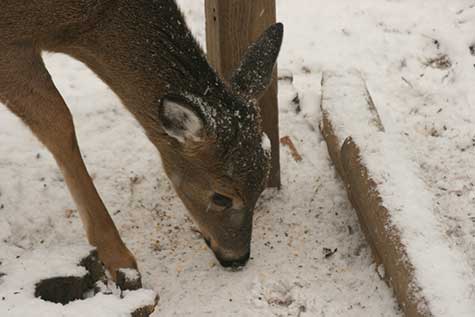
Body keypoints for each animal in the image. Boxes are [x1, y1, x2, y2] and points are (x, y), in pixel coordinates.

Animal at [0, 0, 282, 286]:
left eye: (261, 187)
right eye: (222, 197)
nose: (237, 258)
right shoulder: (10, 43)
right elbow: (59, 122)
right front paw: (120, 261)